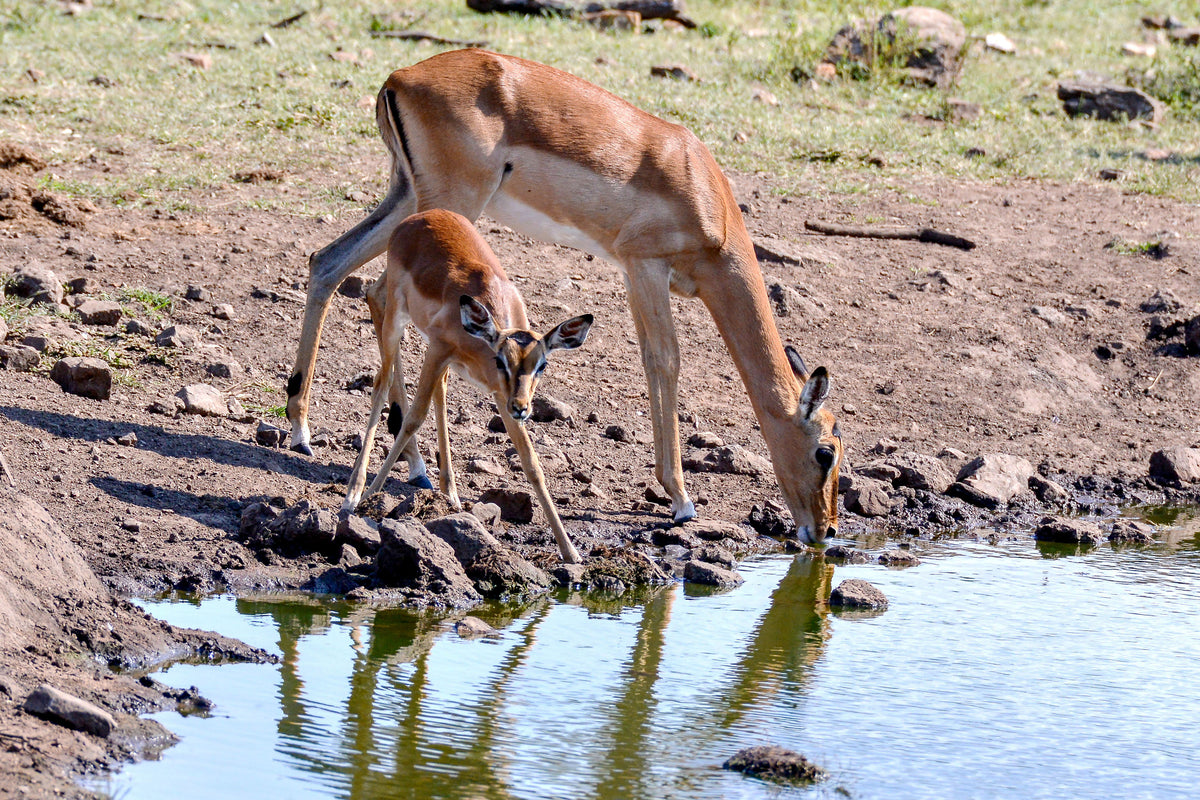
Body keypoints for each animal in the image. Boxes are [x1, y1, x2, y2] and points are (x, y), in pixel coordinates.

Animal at [343, 208, 592, 564]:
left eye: (541, 365)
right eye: (501, 360)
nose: (523, 408)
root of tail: (421, 216)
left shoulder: (499, 393)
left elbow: (531, 461)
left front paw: (570, 552)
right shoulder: (439, 349)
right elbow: (413, 418)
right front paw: (370, 497)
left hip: (443, 362)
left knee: (439, 392)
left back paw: (451, 494)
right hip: (396, 322)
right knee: (381, 384)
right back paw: (355, 493)